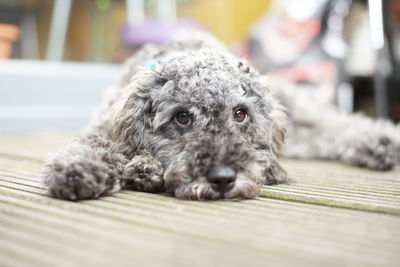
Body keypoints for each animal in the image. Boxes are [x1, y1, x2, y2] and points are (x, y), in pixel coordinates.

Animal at [43, 31, 400, 201]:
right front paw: (78, 169)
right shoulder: (104, 126)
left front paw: (144, 168)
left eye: (240, 114)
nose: (224, 178)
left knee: (334, 124)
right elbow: (91, 144)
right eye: (182, 117)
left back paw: (382, 141)